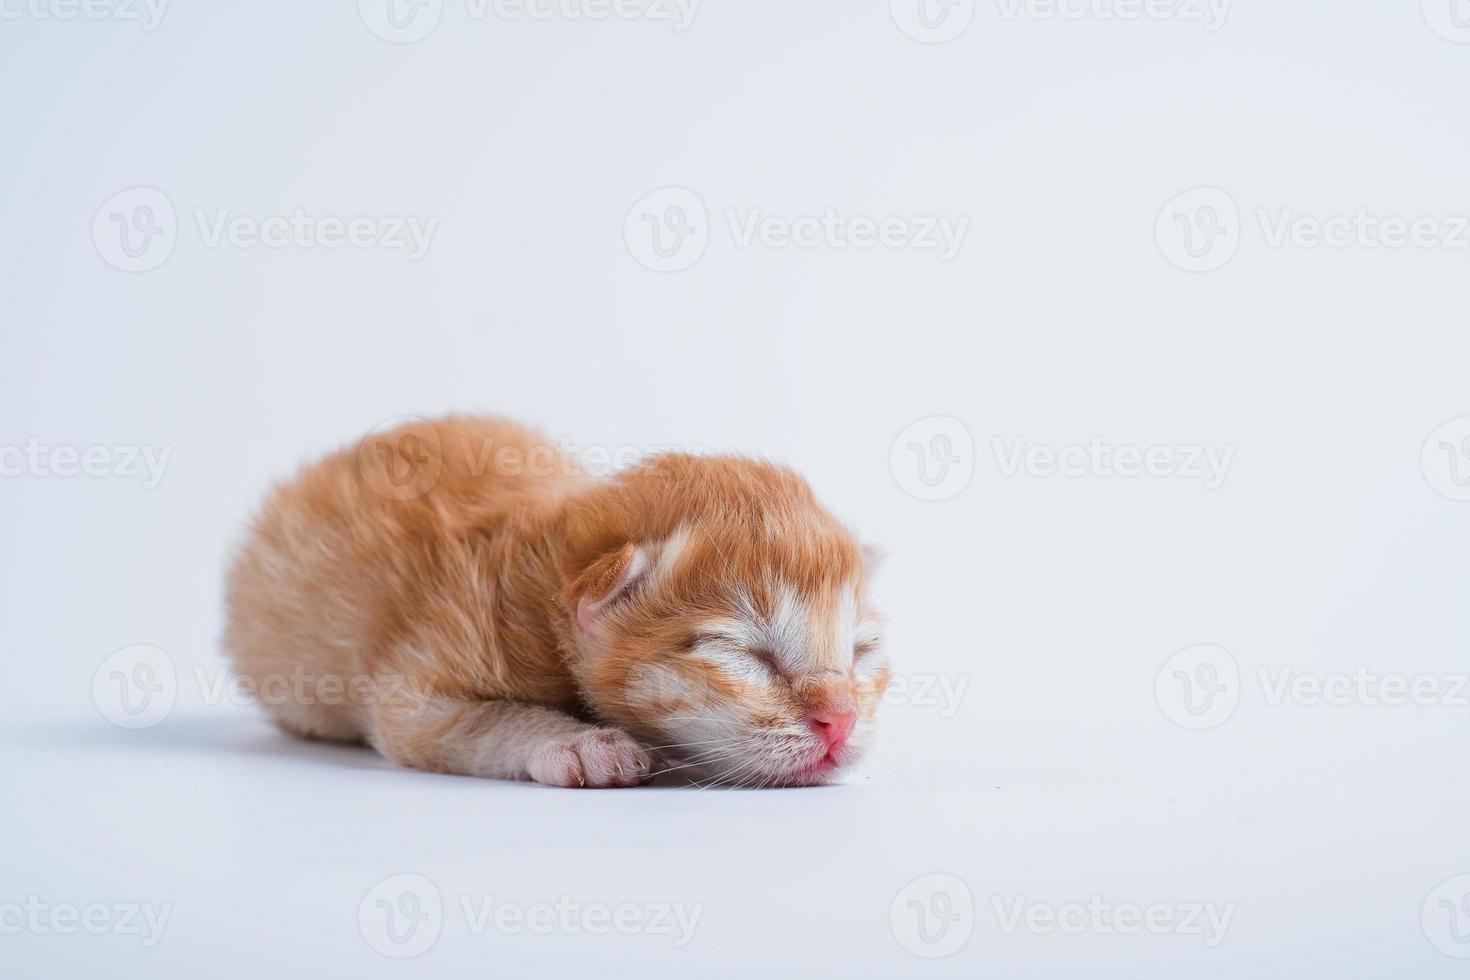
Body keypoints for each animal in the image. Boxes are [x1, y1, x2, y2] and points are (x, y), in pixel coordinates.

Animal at [217, 414, 882, 787]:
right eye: (746, 654)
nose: (842, 719)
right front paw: (580, 743)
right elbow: (482, 719)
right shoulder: (423, 678)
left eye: (860, 655)